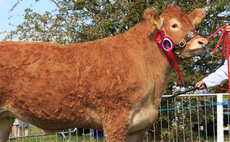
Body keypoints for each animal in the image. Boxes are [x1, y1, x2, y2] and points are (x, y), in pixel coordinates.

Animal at [0, 5, 207, 142]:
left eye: (193, 24)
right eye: (174, 25)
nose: (202, 42)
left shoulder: (139, 127)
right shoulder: (115, 119)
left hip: (5, 118)